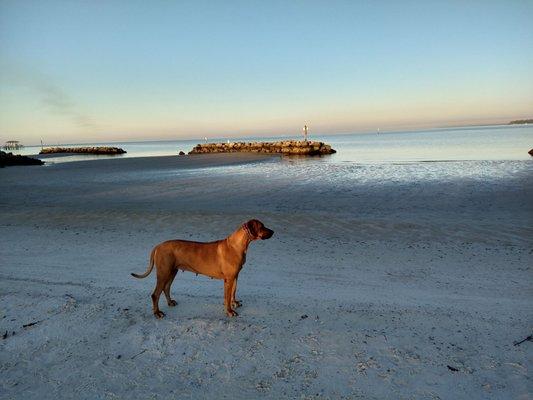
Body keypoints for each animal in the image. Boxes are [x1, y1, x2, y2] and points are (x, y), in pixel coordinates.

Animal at [130, 219, 272, 318]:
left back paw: (170, 302)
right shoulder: (229, 279)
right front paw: (229, 311)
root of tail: (158, 246)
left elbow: (233, 291)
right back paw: (157, 313)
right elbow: (227, 296)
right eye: (262, 226)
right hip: (163, 272)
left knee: (166, 288)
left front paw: (234, 303)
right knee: (155, 294)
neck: (236, 245)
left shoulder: (235, 276)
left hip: (172, 271)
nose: (273, 232)